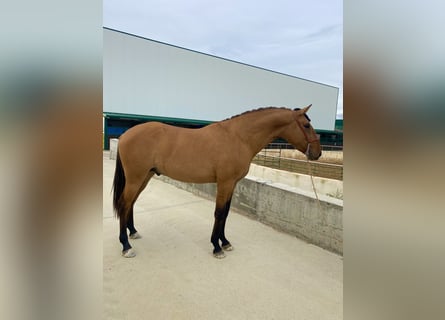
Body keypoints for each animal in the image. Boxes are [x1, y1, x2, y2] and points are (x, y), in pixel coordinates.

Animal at [111, 105, 320, 258]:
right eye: (306, 125)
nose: (318, 153)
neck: (238, 137)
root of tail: (125, 135)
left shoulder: (232, 184)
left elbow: (225, 213)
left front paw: (225, 242)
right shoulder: (225, 182)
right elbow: (219, 213)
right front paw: (216, 247)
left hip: (145, 177)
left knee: (131, 203)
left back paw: (133, 232)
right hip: (136, 177)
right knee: (124, 203)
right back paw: (126, 245)